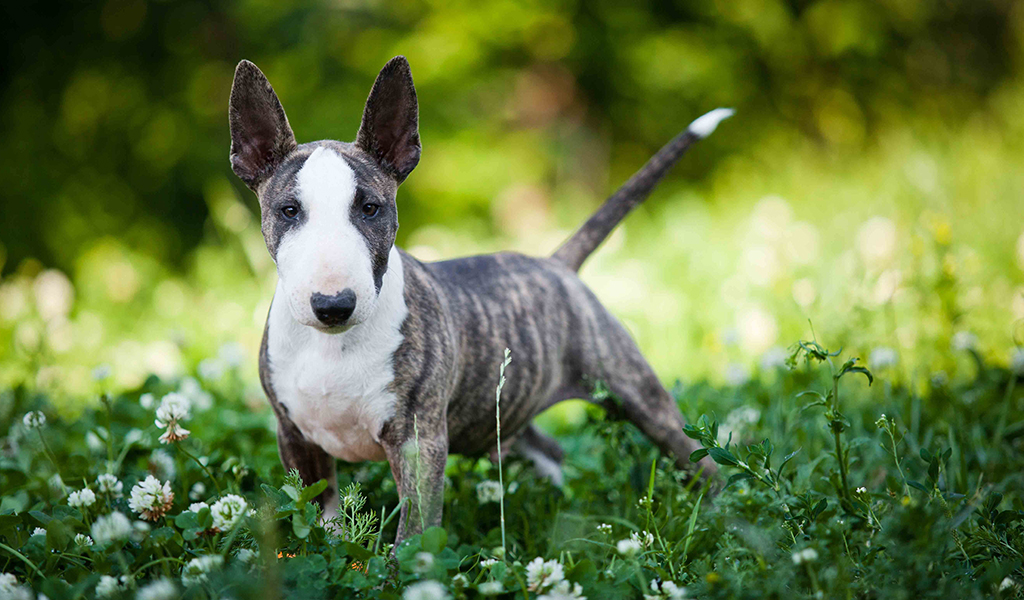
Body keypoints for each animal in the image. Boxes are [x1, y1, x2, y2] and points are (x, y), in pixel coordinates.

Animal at [229, 56, 733, 540]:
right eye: (288, 211)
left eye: (370, 208)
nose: (334, 305)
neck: (333, 346)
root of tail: (556, 265)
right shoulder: (295, 438)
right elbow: (320, 521)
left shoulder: (419, 442)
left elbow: (414, 532)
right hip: (504, 407)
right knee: (550, 449)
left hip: (634, 391)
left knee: (697, 459)